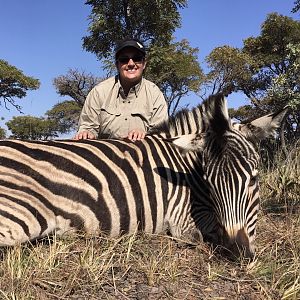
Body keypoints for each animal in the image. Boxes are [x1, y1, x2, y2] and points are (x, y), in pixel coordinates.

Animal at [0, 94, 288, 258]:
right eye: (210, 183)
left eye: (254, 179)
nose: (237, 252)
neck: (186, 169)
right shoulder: (182, 220)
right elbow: (202, 235)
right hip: (21, 216)